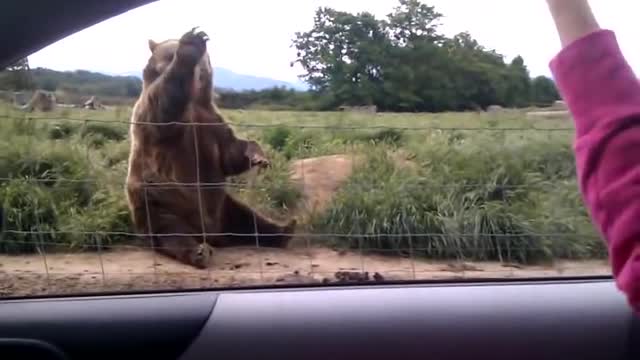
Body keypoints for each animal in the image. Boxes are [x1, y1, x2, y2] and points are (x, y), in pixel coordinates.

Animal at [125, 28, 298, 268]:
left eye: (205, 61)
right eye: (169, 54)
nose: (198, 70)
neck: (193, 99)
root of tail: (211, 233)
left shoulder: (211, 119)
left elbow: (229, 153)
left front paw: (258, 156)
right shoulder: (153, 116)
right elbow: (161, 110)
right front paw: (192, 43)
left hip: (224, 206)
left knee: (249, 219)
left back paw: (285, 230)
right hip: (159, 202)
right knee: (171, 232)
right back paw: (199, 252)